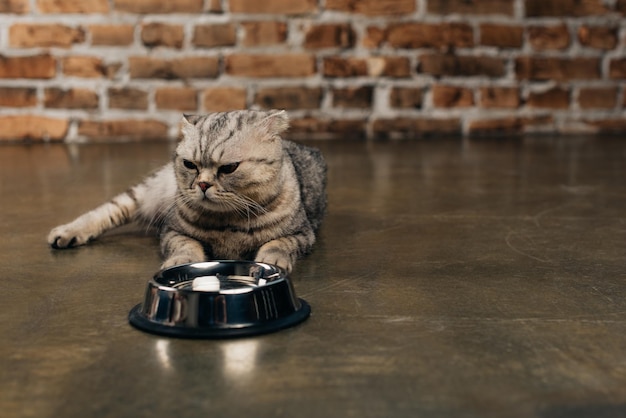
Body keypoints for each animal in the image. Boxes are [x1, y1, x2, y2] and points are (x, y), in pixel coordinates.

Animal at [48, 109, 326, 272]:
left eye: (229, 168)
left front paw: (271, 261)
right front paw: (180, 262)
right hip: (144, 194)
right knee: (107, 210)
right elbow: (185, 247)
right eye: (190, 165)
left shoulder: (303, 233)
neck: (228, 222)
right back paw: (68, 232)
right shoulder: (173, 231)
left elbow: (278, 244)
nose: (202, 184)